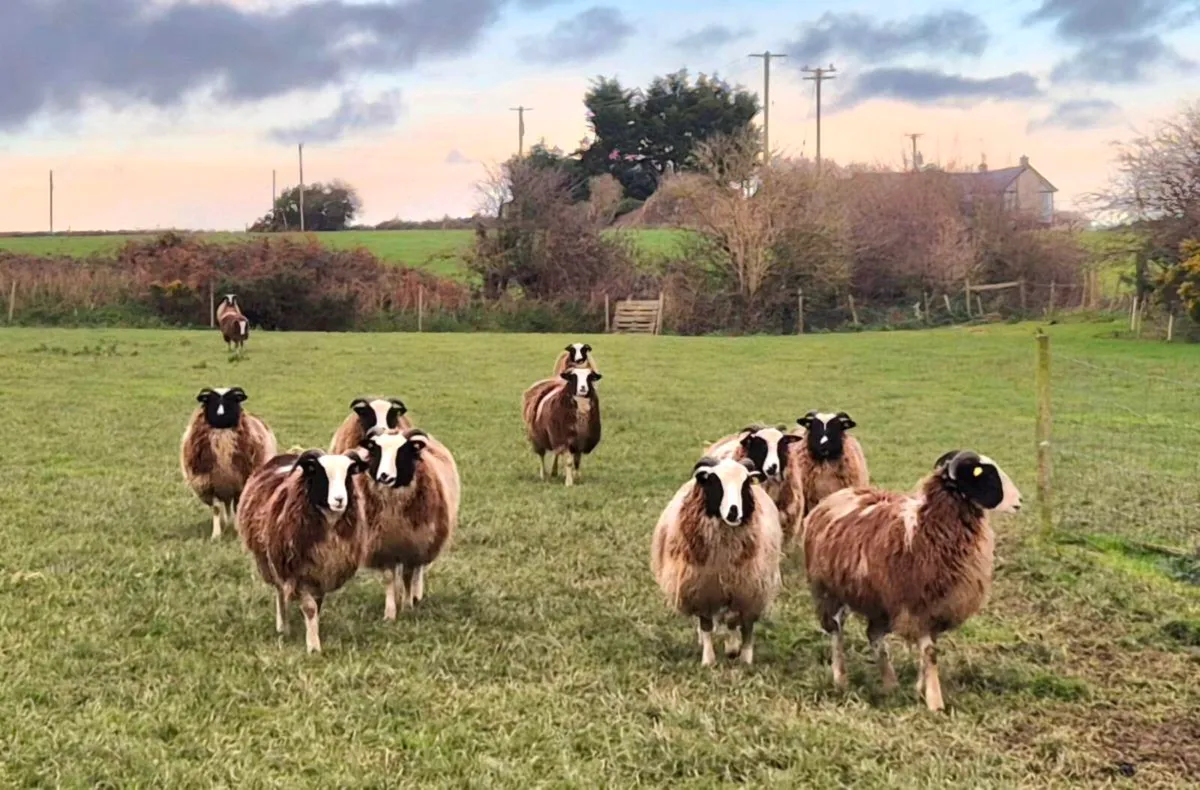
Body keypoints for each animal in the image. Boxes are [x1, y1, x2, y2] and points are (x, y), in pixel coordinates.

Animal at [180, 387, 278, 540]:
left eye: (233, 400)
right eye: (209, 400)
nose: (221, 414)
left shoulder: (240, 482)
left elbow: (237, 506)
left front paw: (238, 532)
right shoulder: (210, 483)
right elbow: (216, 509)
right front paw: (216, 535)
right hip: (224, 486)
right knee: (226, 505)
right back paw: (227, 522)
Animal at [237, 448, 371, 653]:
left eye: (349, 473)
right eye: (320, 472)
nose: (340, 500)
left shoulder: (321, 574)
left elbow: (317, 606)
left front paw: (313, 631)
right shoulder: (297, 574)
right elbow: (309, 607)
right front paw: (313, 647)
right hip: (271, 563)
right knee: (280, 593)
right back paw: (283, 627)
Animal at [356, 427, 461, 619]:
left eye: (402, 451)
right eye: (376, 449)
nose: (384, 476)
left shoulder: (413, 545)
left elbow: (407, 576)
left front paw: (407, 606)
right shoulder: (384, 546)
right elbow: (389, 578)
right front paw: (390, 613)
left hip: (425, 540)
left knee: (418, 571)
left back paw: (415, 595)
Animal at [650, 456, 783, 666]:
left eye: (745, 482)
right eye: (714, 481)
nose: (733, 512)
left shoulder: (748, 589)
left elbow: (741, 623)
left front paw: (740, 653)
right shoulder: (701, 589)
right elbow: (706, 624)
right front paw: (708, 659)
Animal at [802, 449, 1022, 711]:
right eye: (982, 474)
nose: (1019, 502)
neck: (930, 526)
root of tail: (836, 496)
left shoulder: (937, 608)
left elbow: (926, 652)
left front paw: (920, 689)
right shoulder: (918, 605)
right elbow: (930, 653)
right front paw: (935, 702)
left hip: (879, 602)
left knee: (874, 636)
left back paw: (890, 683)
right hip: (830, 592)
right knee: (836, 631)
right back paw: (840, 679)